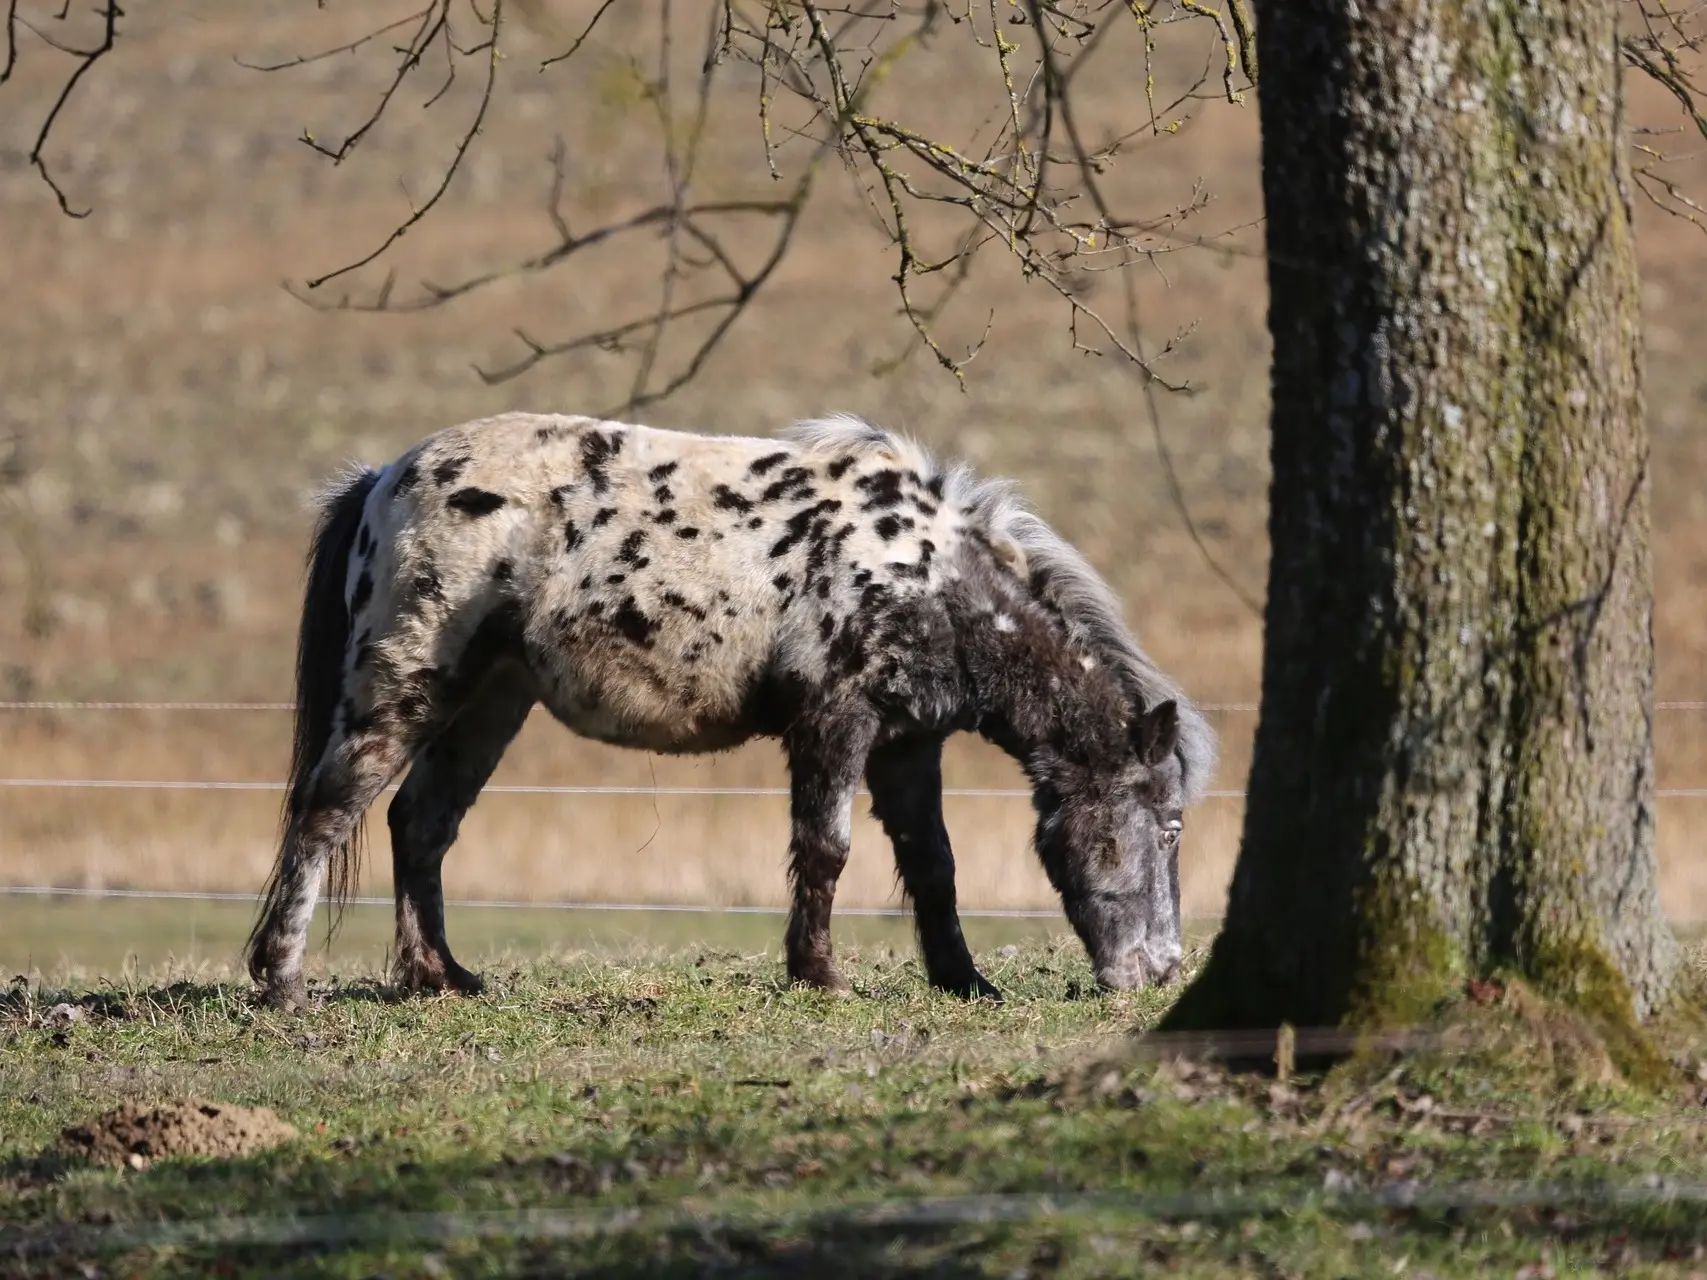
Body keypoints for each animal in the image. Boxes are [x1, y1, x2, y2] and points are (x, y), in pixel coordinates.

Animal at [247, 411, 1222, 1010]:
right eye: (1169, 825)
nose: (1160, 969)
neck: (931, 580)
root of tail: (385, 475)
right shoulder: (835, 724)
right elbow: (826, 850)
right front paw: (820, 975)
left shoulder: (908, 745)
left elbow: (933, 864)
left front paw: (962, 979)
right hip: (404, 686)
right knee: (327, 813)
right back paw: (281, 981)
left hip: (491, 701)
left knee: (420, 823)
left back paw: (436, 975)